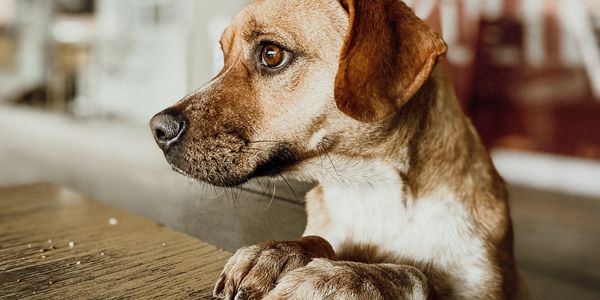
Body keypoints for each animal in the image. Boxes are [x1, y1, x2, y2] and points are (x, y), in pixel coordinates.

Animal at [150, 0, 528, 298]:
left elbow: (413, 272)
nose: (158, 129)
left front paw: (340, 277)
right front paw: (276, 253)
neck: (371, 190)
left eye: (271, 54)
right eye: (223, 55)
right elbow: (317, 239)